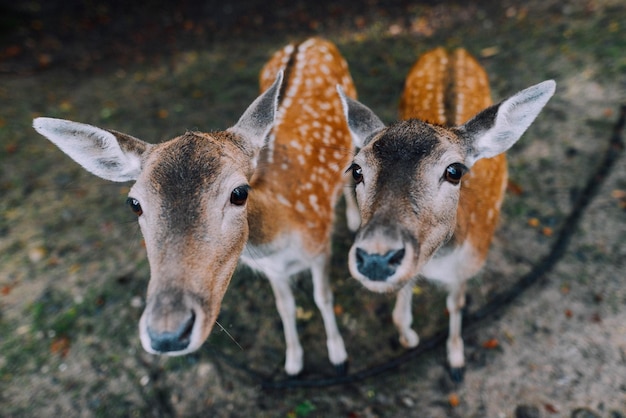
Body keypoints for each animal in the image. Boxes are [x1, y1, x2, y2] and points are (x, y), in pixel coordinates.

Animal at [33, 38, 356, 376]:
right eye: (134, 204)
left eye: (239, 192)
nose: (167, 334)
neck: (283, 236)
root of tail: (307, 41)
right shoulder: (273, 270)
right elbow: (285, 307)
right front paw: (293, 362)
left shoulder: (320, 245)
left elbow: (323, 297)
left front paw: (338, 355)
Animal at [338, 47, 552, 380]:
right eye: (356, 170)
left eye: (454, 171)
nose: (376, 258)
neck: (438, 262)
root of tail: (451, 50)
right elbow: (400, 312)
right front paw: (409, 338)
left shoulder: (469, 264)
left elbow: (456, 304)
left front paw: (456, 360)